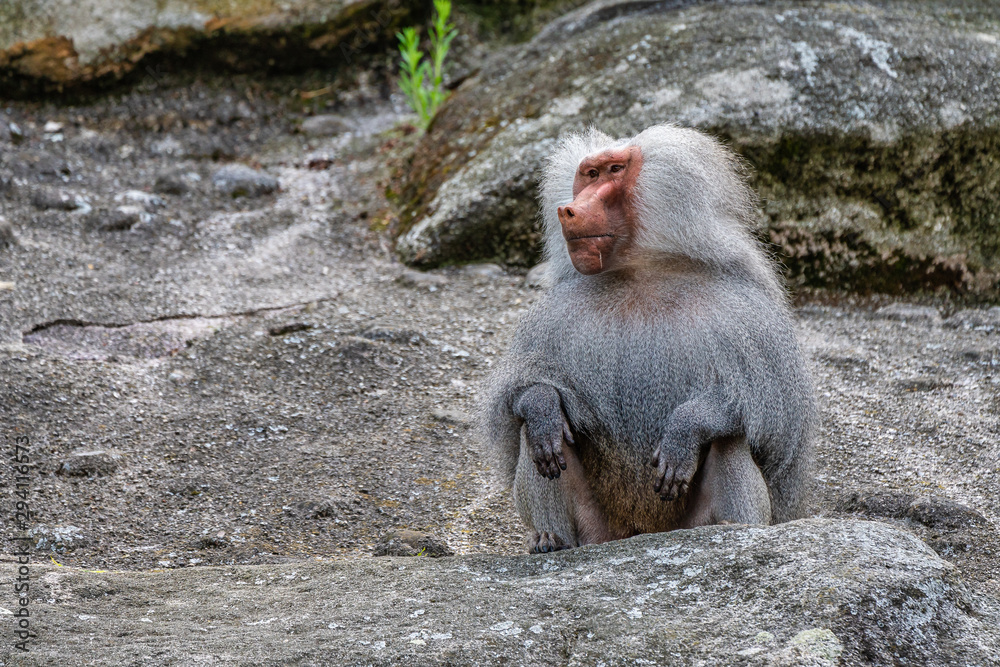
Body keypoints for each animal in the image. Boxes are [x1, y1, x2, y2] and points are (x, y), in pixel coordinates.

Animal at [479, 124, 816, 554]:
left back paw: (732, 527)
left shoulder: (750, 316)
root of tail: (638, 535)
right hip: (596, 531)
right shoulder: (553, 315)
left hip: (686, 525)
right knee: (535, 437)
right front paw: (541, 407)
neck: (641, 275)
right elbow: (520, 402)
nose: (568, 210)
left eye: (615, 170)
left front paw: (684, 432)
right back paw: (550, 540)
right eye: (589, 174)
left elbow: (774, 421)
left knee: (729, 437)